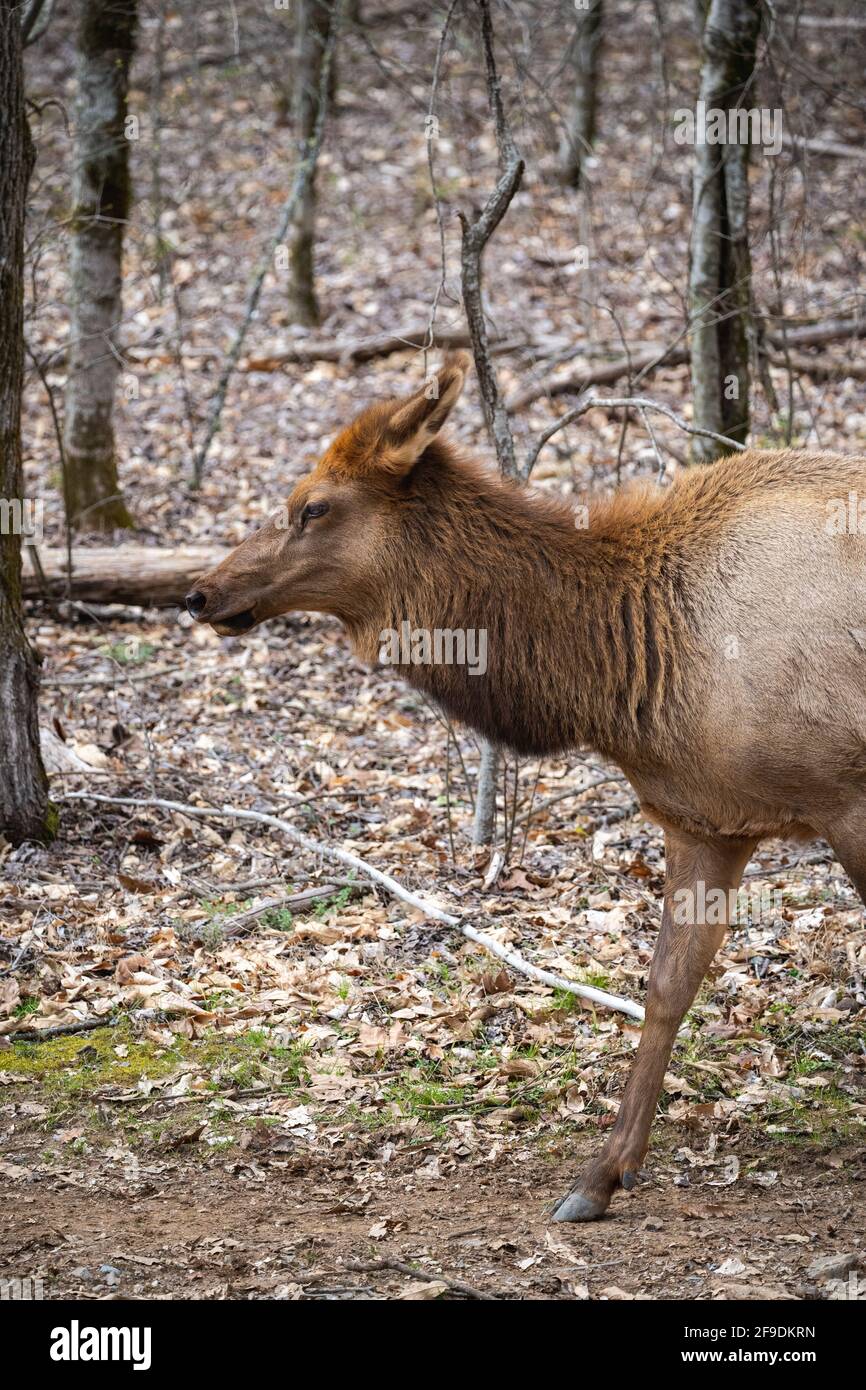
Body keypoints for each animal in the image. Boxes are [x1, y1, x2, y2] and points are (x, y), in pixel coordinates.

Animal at [187, 353, 866, 1223]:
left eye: (313, 505)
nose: (201, 591)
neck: (638, 671)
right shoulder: (707, 819)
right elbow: (666, 986)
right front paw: (599, 1176)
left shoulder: (845, 799)